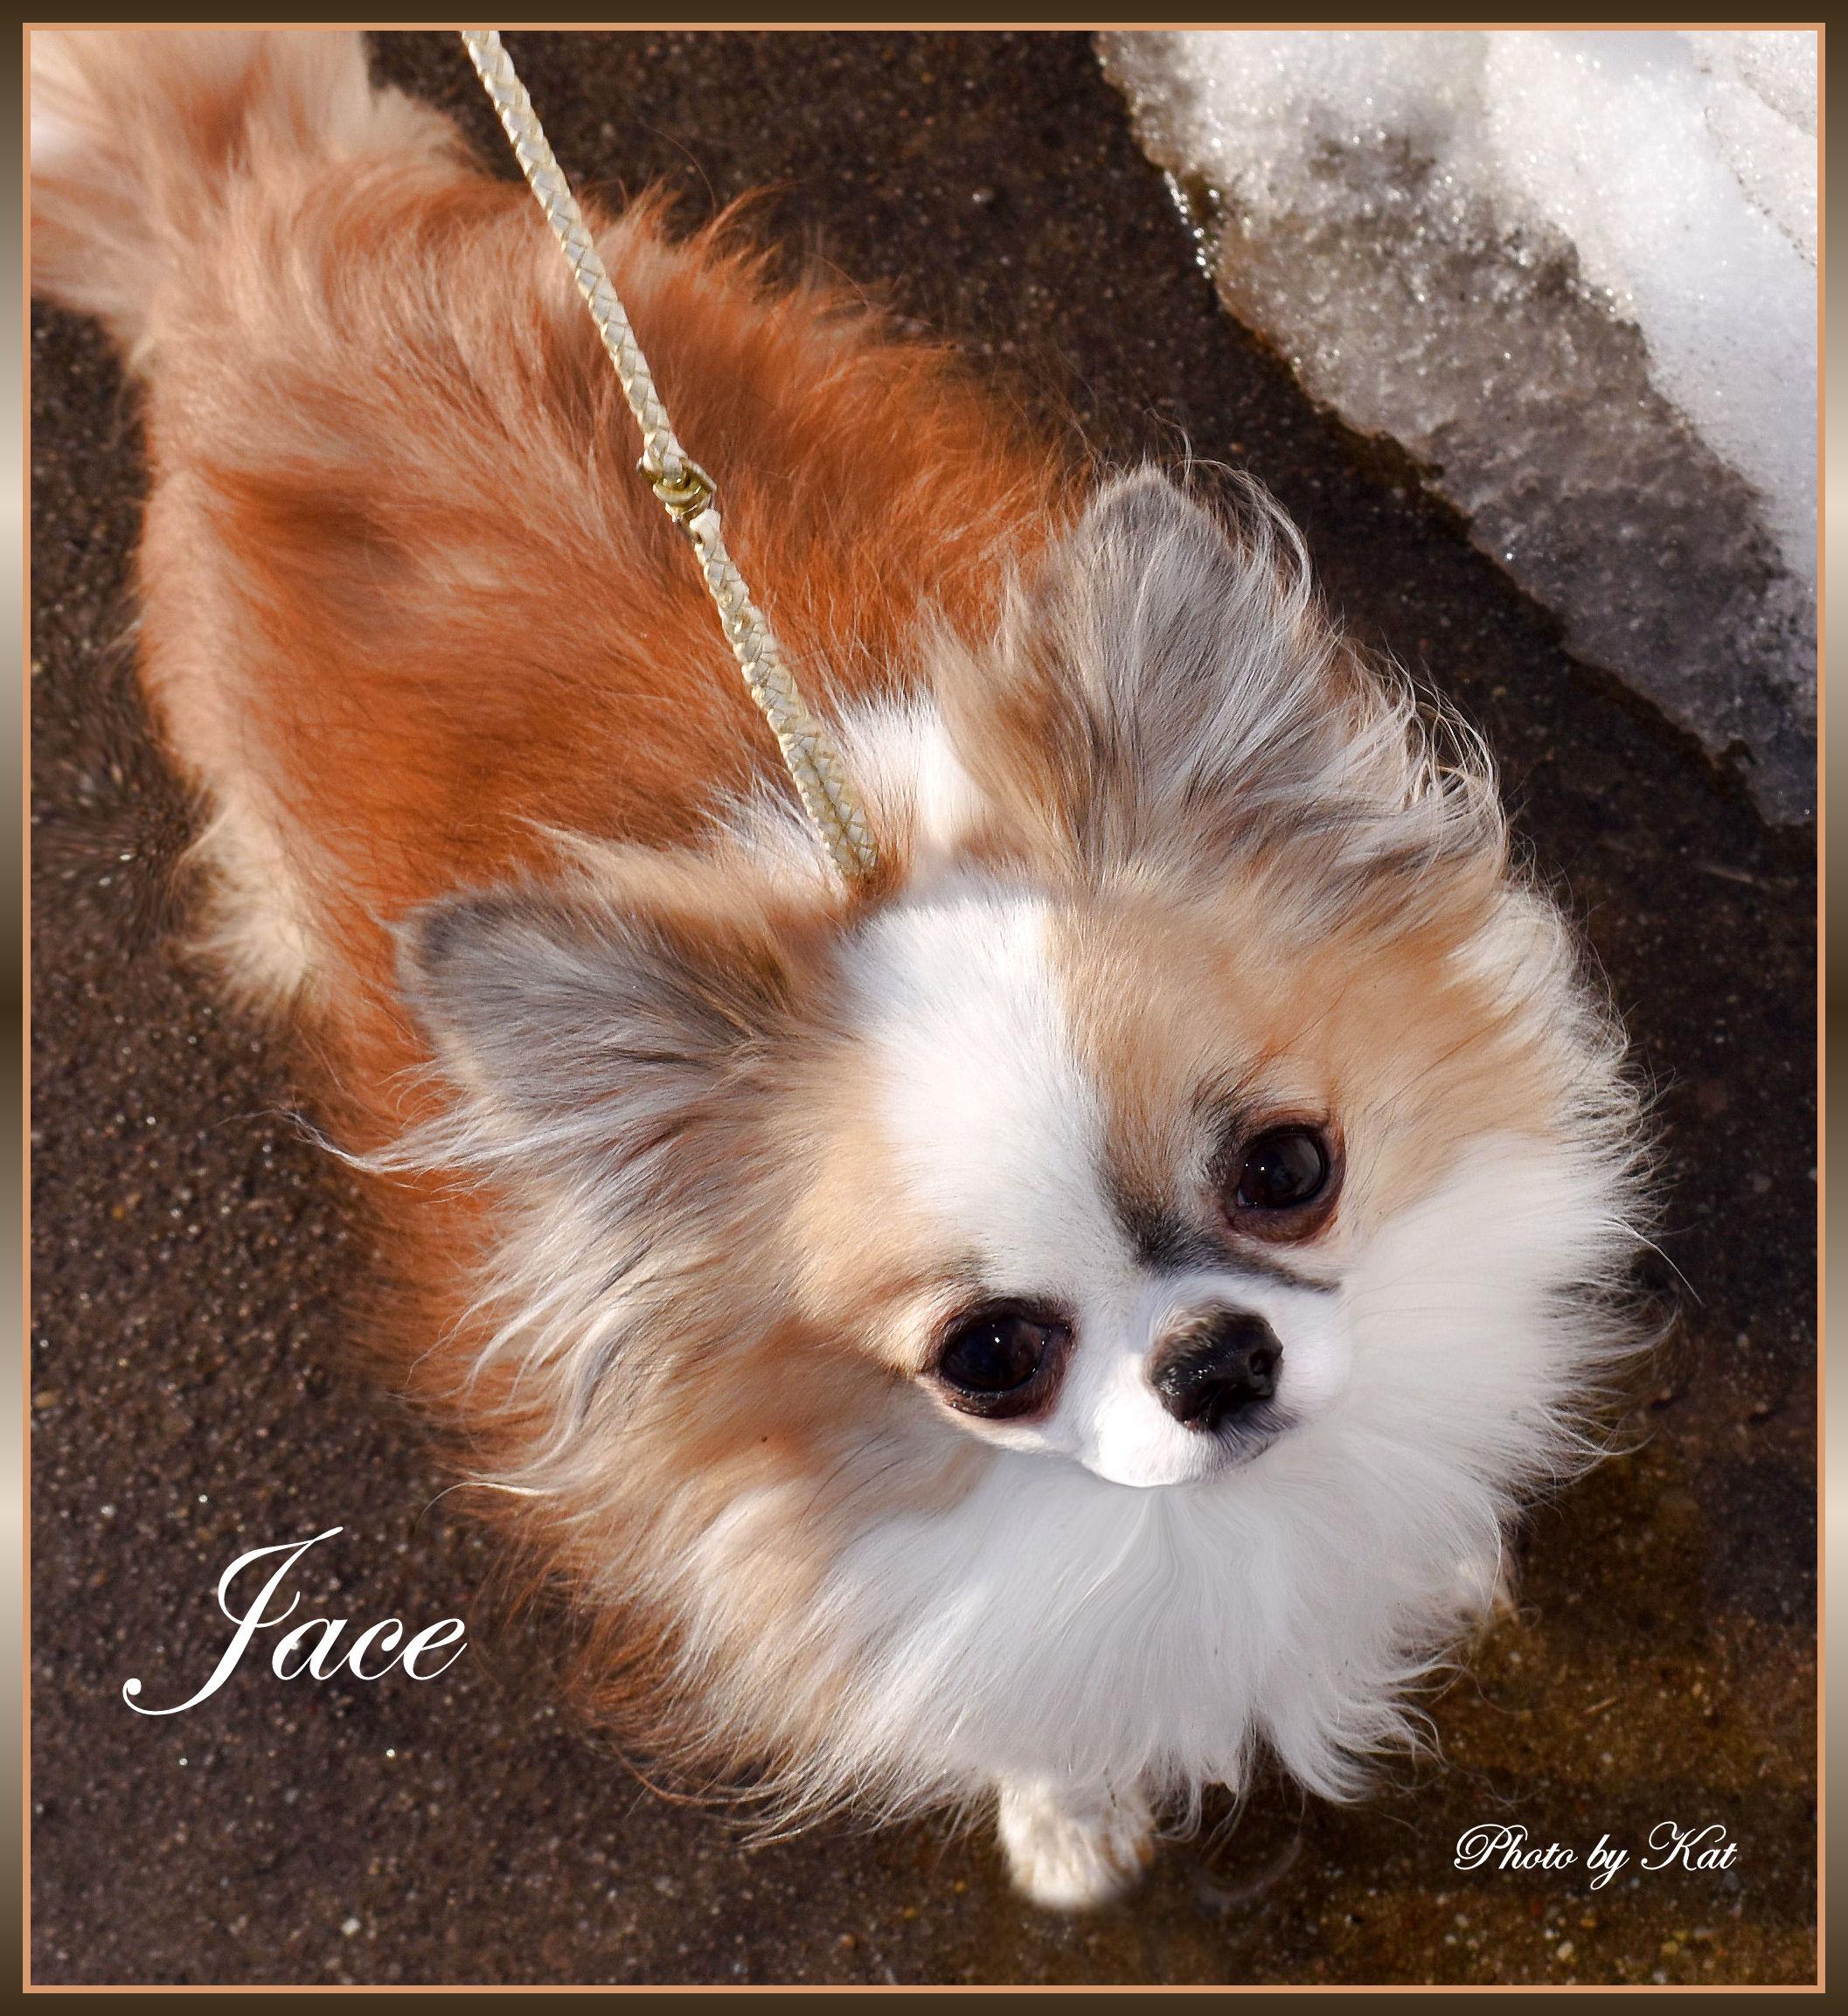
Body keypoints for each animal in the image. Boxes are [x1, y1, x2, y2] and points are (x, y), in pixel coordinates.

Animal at [31, 28, 1649, 1909]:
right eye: (986, 1357)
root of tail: (248, 207)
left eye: (1287, 1166)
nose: (1215, 1358)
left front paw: (1440, 1560)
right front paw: (1070, 1827)